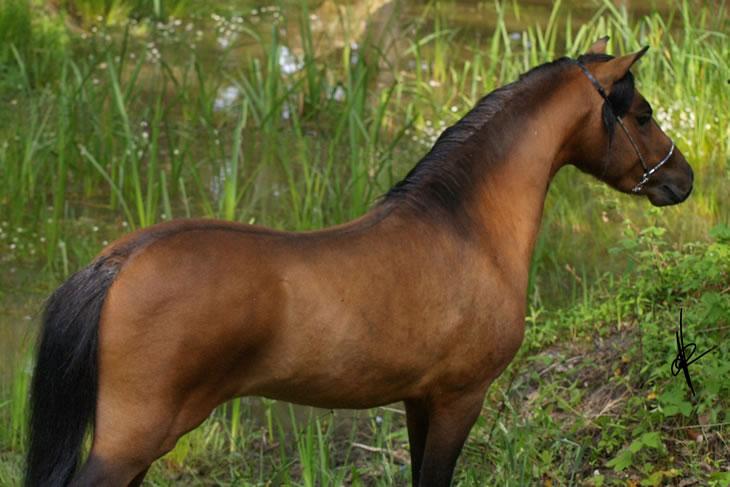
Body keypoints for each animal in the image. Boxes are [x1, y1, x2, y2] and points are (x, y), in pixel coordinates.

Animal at [25, 39, 692, 487]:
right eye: (642, 114)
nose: (682, 179)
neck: (467, 229)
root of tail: (122, 260)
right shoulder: (460, 398)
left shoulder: (420, 400)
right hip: (131, 442)